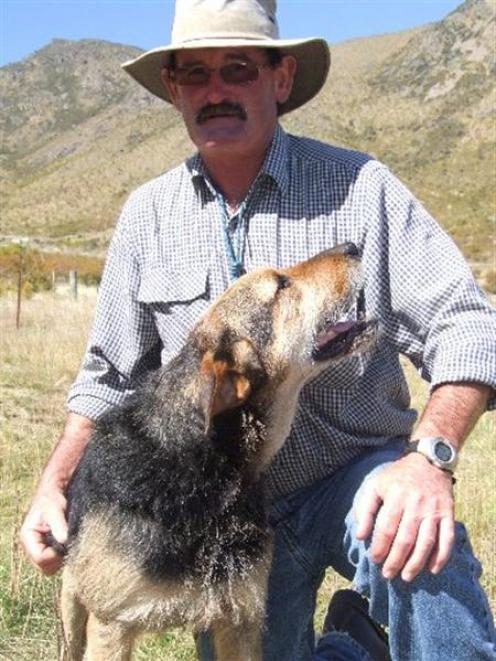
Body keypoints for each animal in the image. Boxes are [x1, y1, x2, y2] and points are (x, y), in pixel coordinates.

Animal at [57, 244, 376, 660]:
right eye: (280, 285)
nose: (352, 247)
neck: (201, 474)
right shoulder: (112, 625)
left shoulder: (239, 618)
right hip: (72, 605)